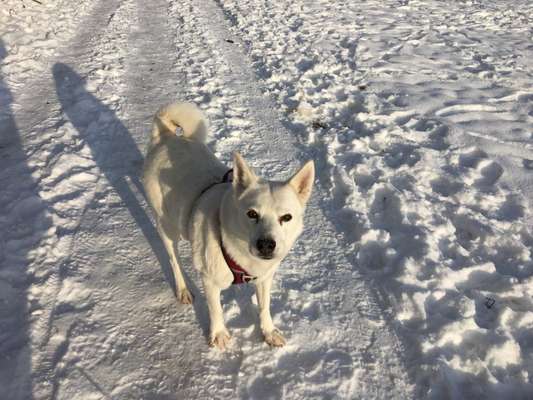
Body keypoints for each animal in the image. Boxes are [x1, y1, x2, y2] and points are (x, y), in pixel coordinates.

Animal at [143, 103, 314, 350]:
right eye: (252, 214)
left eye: (286, 217)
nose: (266, 245)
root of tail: (167, 135)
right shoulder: (210, 280)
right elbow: (215, 309)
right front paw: (218, 335)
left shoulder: (265, 278)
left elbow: (264, 307)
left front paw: (268, 331)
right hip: (167, 226)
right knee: (174, 260)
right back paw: (183, 290)